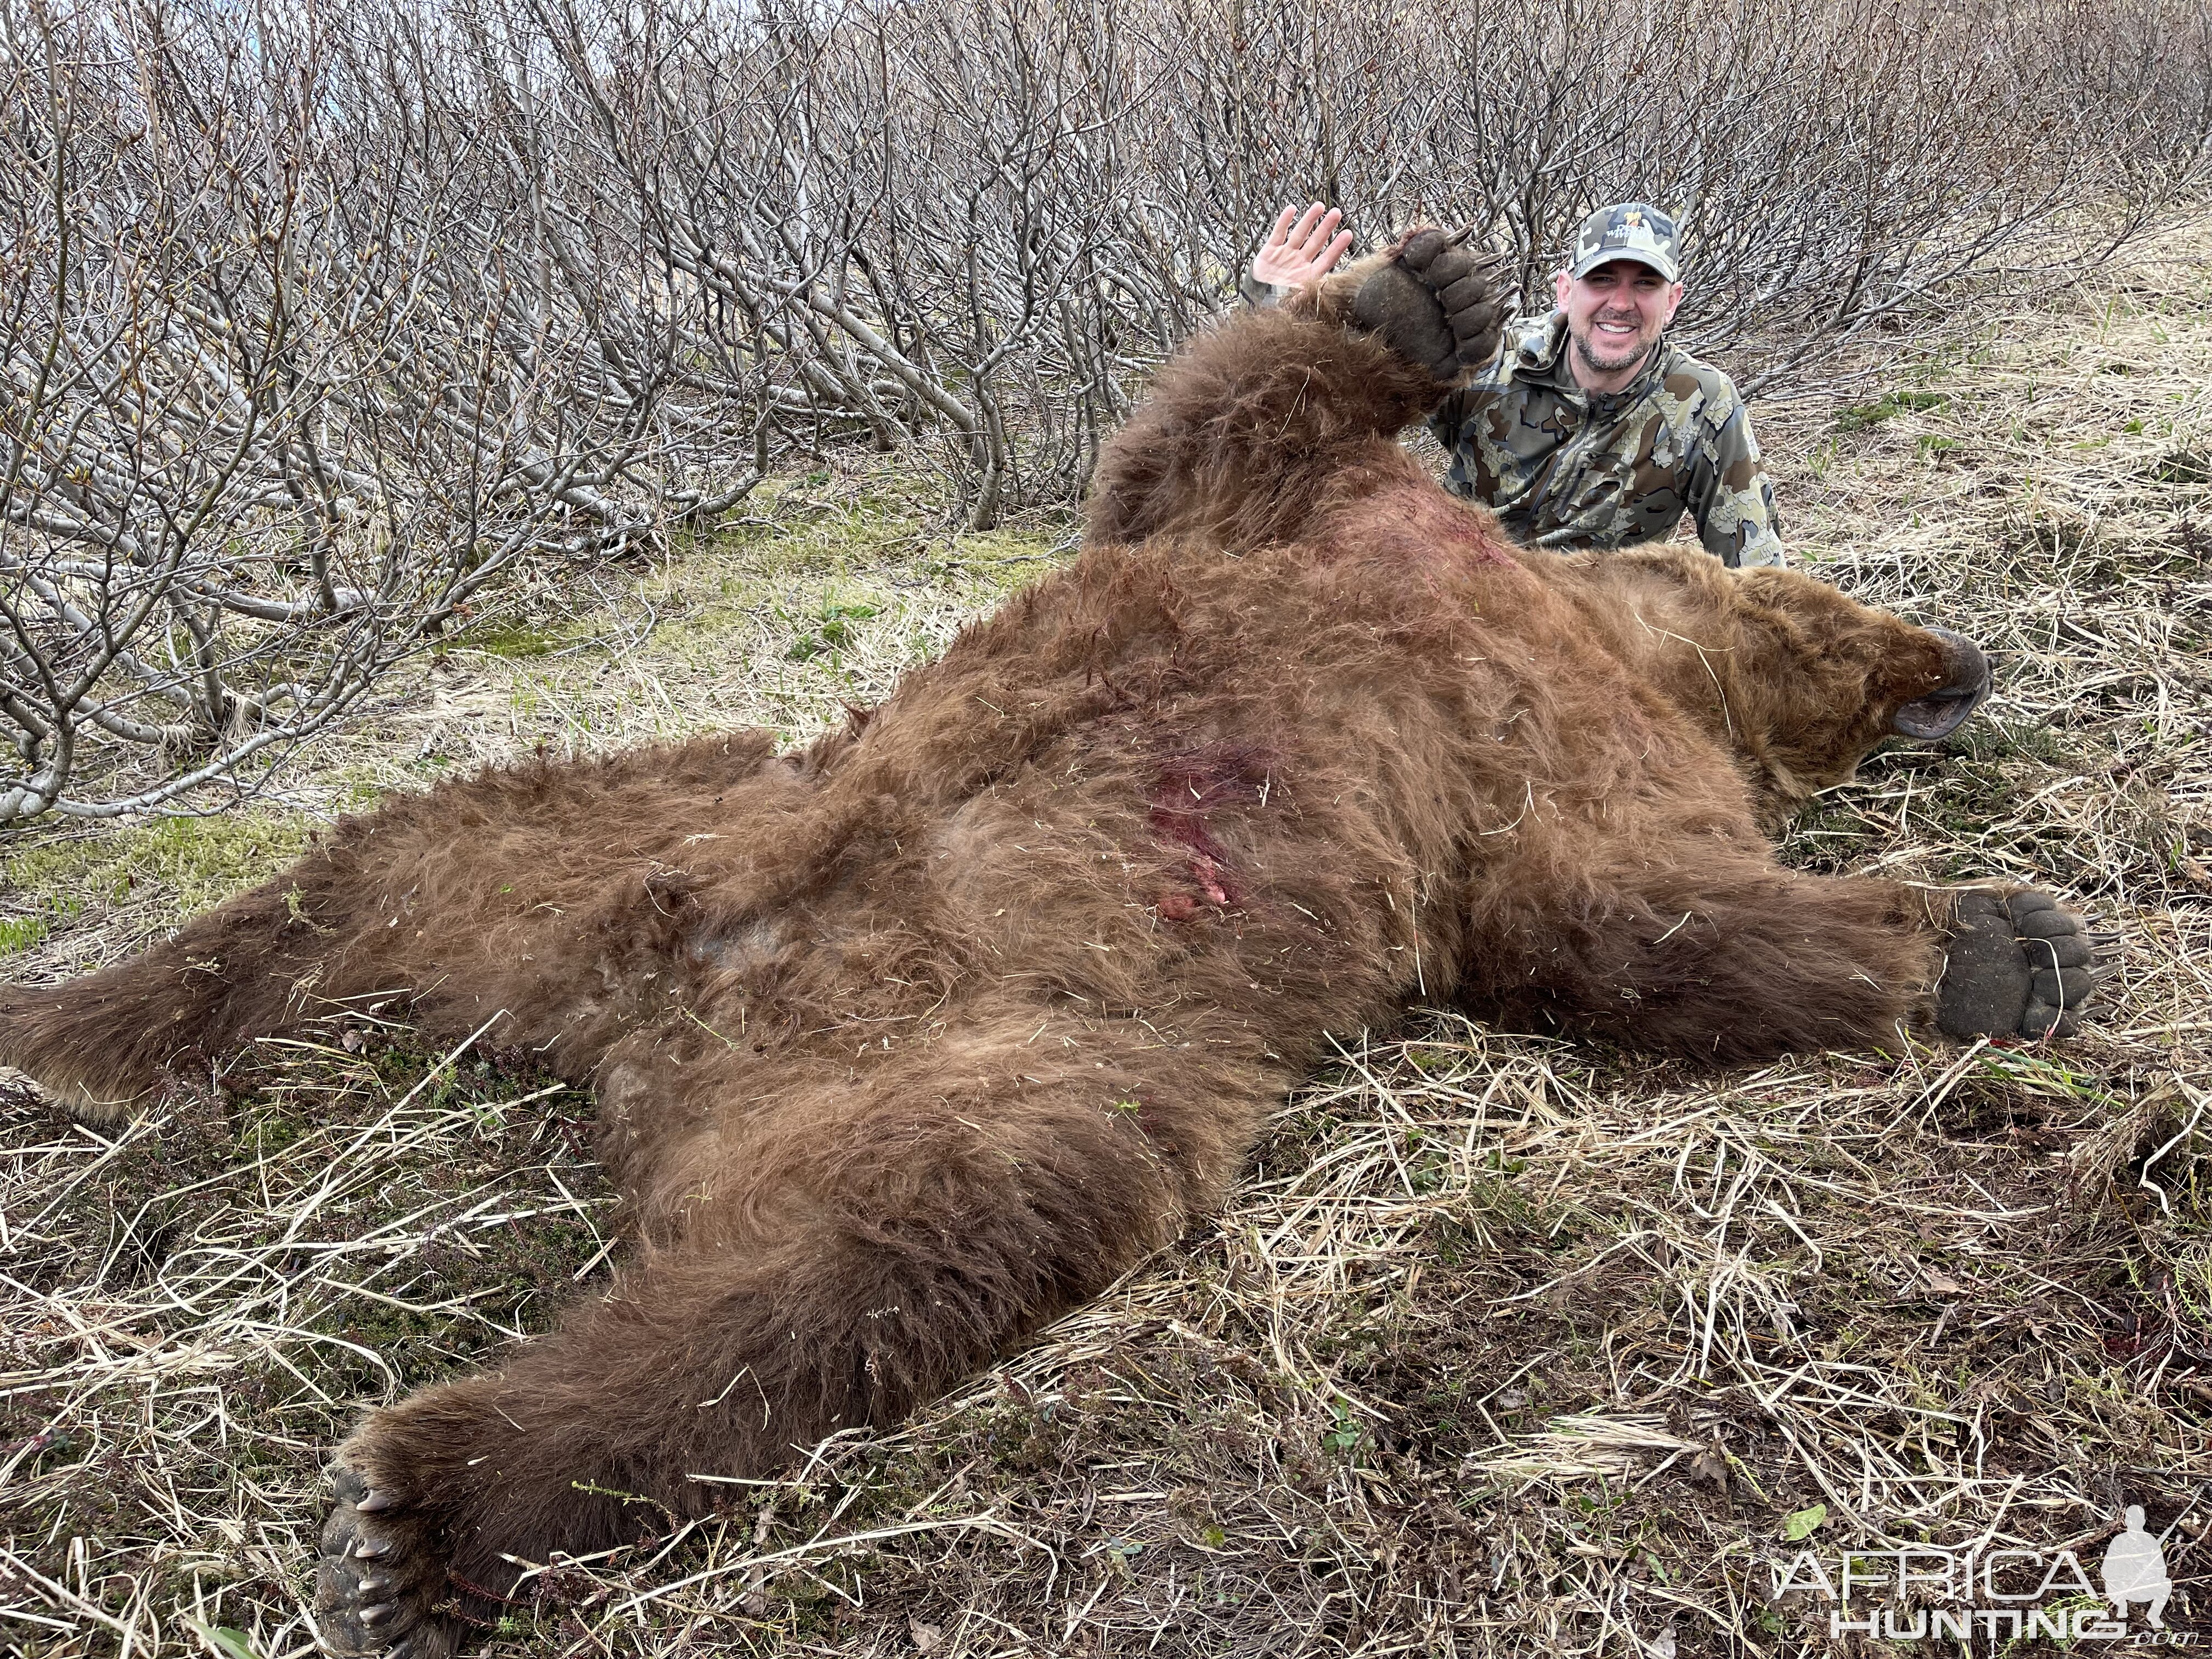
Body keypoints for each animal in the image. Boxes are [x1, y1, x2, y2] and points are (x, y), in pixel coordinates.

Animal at [0, 236, 2088, 1659]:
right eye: (1852, 615)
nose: (1967, 662)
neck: (1601, 628)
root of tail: (647, 1015)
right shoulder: (1346, 549)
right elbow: (1206, 438)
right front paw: (1416, 285)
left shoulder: (1541, 782)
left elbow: (1628, 914)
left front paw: (1997, 942)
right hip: (708, 844)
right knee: (404, 883)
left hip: (898, 1025)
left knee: (858, 1237)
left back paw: (391, 1461)